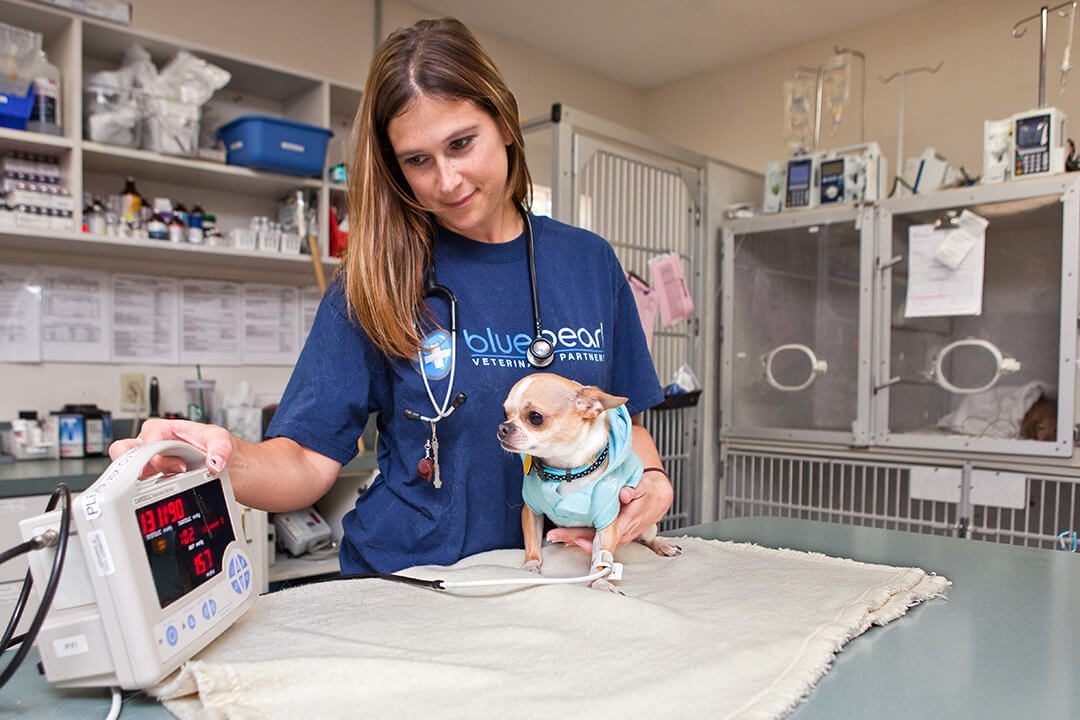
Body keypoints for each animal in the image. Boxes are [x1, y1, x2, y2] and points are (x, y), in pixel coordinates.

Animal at [494, 371, 678, 591]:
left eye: (535, 418)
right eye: (505, 414)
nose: (503, 428)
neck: (565, 471)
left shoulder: (607, 522)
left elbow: (602, 560)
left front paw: (600, 583)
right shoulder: (531, 511)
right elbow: (532, 542)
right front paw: (530, 565)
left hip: (649, 526)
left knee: (648, 539)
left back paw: (662, 545)